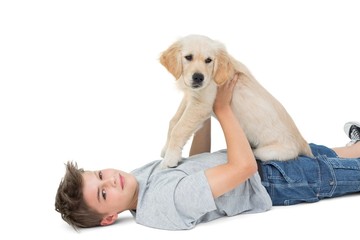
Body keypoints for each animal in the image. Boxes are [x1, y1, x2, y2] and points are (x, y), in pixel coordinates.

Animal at [160, 34, 312, 168]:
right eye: (188, 57)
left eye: (208, 60)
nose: (198, 77)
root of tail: (303, 144)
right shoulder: (192, 97)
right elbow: (173, 121)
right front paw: (166, 149)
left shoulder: (201, 104)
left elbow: (179, 129)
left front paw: (171, 158)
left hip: (267, 152)